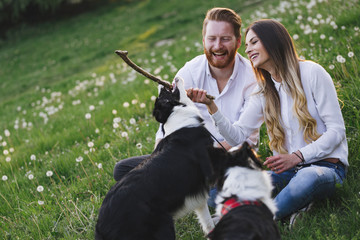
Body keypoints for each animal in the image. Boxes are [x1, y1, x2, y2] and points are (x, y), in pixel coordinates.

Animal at [94, 77, 218, 240]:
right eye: (162, 95)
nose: (161, 83)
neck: (176, 115)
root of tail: (101, 225)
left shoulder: (198, 194)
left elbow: (207, 223)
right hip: (163, 226)